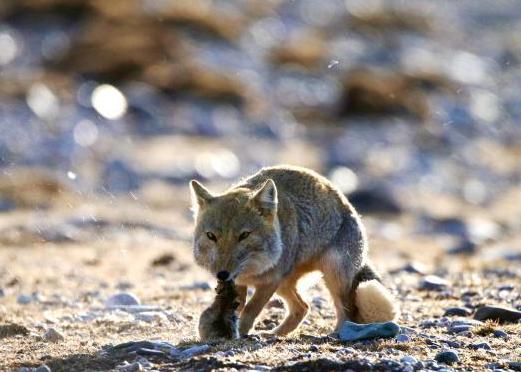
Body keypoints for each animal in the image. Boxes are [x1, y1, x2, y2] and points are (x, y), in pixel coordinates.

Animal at [191, 166, 398, 338]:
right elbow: (240, 305)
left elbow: (250, 309)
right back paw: (275, 334)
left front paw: (240, 333)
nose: (221, 274)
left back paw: (337, 334)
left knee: (346, 312)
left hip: (333, 277)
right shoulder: (241, 282)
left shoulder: (269, 281)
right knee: (303, 307)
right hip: (285, 285)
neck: (252, 271)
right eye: (211, 236)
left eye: (244, 235)